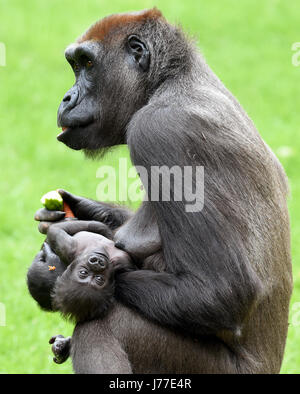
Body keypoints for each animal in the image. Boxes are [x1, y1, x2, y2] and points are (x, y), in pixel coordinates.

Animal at [27, 8, 292, 372]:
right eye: (75, 65)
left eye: (88, 64)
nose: (67, 98)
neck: (168, 82)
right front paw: (83, 212)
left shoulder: (159, 130)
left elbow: (220, 293)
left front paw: (62, 275)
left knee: (103, 325)